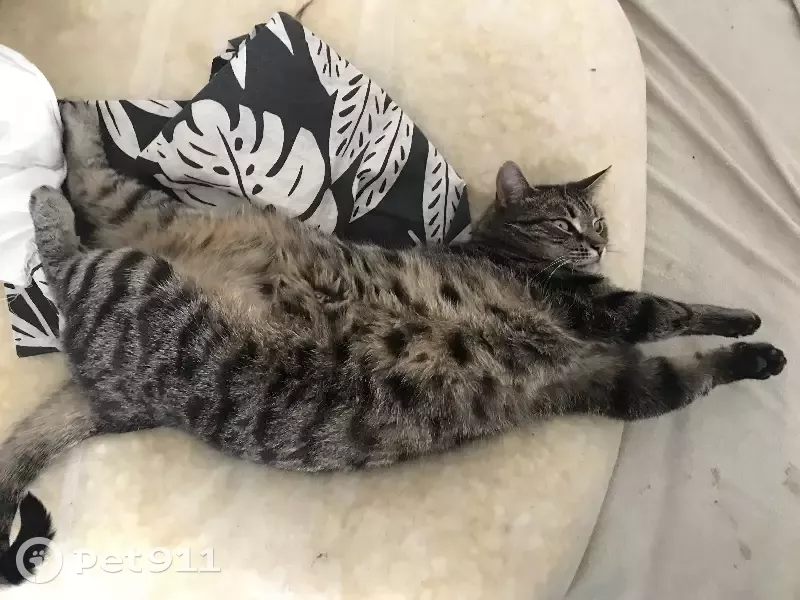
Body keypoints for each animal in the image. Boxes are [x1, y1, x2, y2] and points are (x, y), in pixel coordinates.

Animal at [0, 102, 785, 584]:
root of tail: (114, 396)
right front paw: (742, 320)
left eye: (597, 219)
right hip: (136, 262)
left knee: (92, 202)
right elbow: (672, 311)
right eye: (565, 221)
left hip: (139, 234)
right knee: (71, 232)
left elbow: (692, 373)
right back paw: (53, 176)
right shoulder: (602, 313)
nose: (598, 240)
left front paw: (757, 349)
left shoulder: (615, 382)